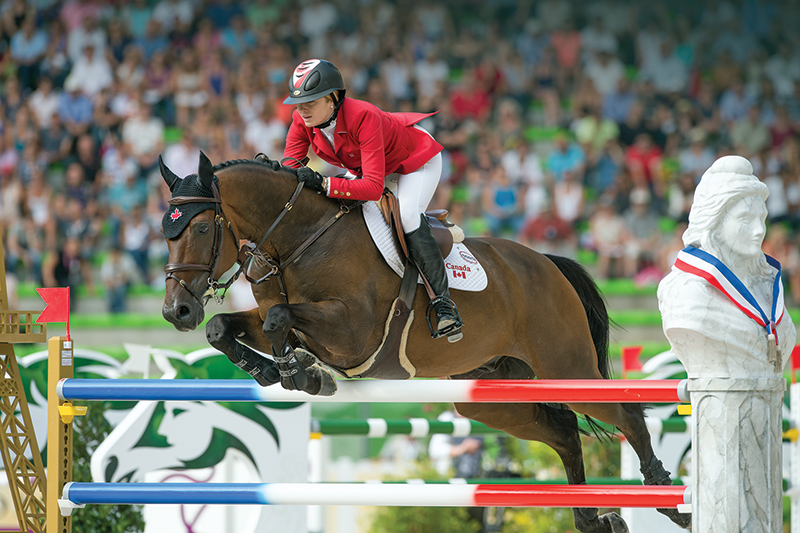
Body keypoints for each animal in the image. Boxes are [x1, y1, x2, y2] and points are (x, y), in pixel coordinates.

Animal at [159, 152, 690, 532]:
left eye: (202, 227)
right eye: (166, 234)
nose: (175, 311)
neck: (299, 239)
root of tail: (546, 262)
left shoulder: (353, 332)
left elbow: (278, 320)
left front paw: (300, 372)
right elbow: (225, 328)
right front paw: (276, 371)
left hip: (566, 367)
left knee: (627, 414)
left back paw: (669, 501)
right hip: (489, 394)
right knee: (562, 431)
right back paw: (592, 520)